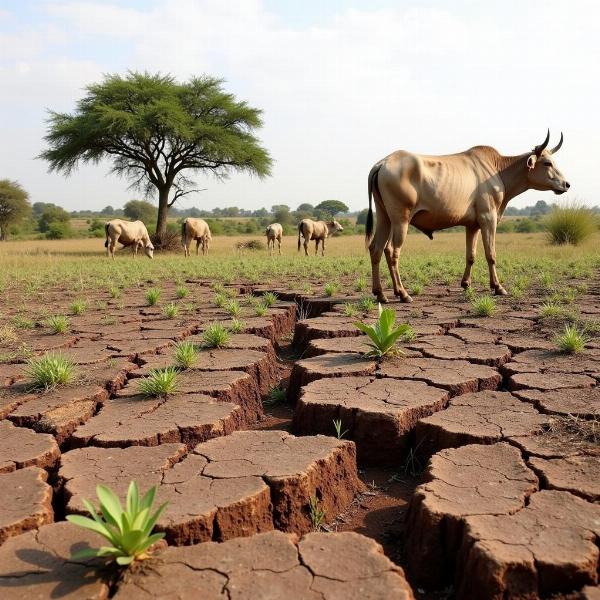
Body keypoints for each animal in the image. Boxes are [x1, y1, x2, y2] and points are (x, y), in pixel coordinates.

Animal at [366, 129, 568, 302]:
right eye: (547, 163)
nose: (566, 184)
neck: (497, 170)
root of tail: (383, 163)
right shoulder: (488, 219)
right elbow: (491, 254)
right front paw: (498, 287)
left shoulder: (472, 225)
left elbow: (471, 255)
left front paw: (466, 284)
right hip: (401, 220)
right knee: (392, 251)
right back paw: (403, 293)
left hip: (385, 218)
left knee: (376, 249)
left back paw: (380, 293)